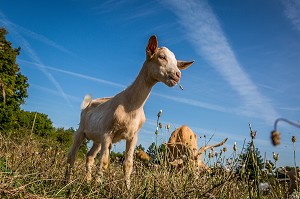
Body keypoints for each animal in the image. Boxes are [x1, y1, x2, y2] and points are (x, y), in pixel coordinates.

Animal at [64, 35, 193, 189]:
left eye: (176, 62)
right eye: (161, 56)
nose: (177, 75)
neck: (131, 105)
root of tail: (87, 105)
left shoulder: (133, 136)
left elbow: (128, 164)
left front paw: (127, 189)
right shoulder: (108, 132)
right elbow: (104, 161)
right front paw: (97, 187)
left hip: (97, 138)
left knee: (89, 156)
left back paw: (87, 181)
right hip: (81, 130)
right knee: (72, 155)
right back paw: (66, 182)